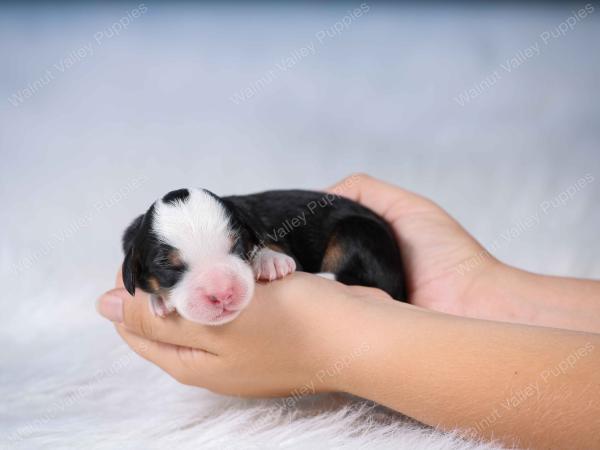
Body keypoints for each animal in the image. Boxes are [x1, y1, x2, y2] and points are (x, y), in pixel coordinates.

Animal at [120, 188, 408, 326]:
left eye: (237, 247)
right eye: (168, 266)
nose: (222, 293)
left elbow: (270, 247)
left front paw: (270, 261)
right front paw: (159, 299)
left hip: (358, 232)